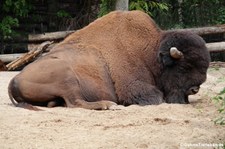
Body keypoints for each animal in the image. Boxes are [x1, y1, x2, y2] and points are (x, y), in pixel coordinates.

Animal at [8, 10, 209, 110]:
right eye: (184, 67)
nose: (194, 89)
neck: (150, 51)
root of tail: (13, 79)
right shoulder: (133, 87)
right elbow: (156, 97)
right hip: (66, 76)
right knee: (75, 103)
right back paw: (109, 105)